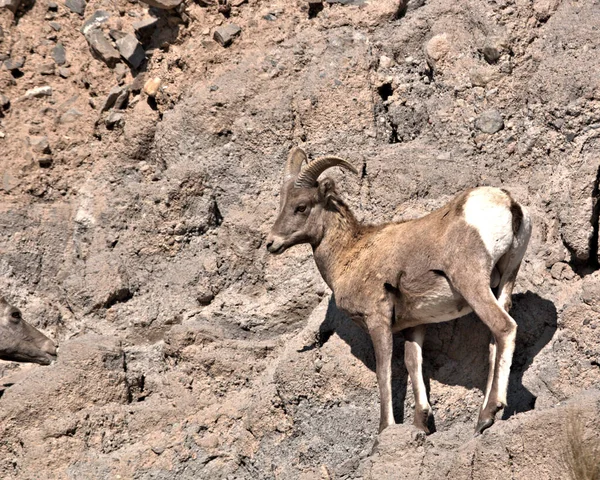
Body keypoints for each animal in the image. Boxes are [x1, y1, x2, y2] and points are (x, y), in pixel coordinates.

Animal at [266, 147, 528, 436]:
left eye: (301, 206)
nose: (271, 243)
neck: (351, 255)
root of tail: (508, 204)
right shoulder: (415, 324)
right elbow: (413, 362)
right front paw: (420, 424)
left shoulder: (377, 319)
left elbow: (384, 370)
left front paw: (384, 429)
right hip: (505, 282)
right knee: (494, 342)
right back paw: (484, 416)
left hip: (472, 283)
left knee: (504, 327)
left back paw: (488, 414)